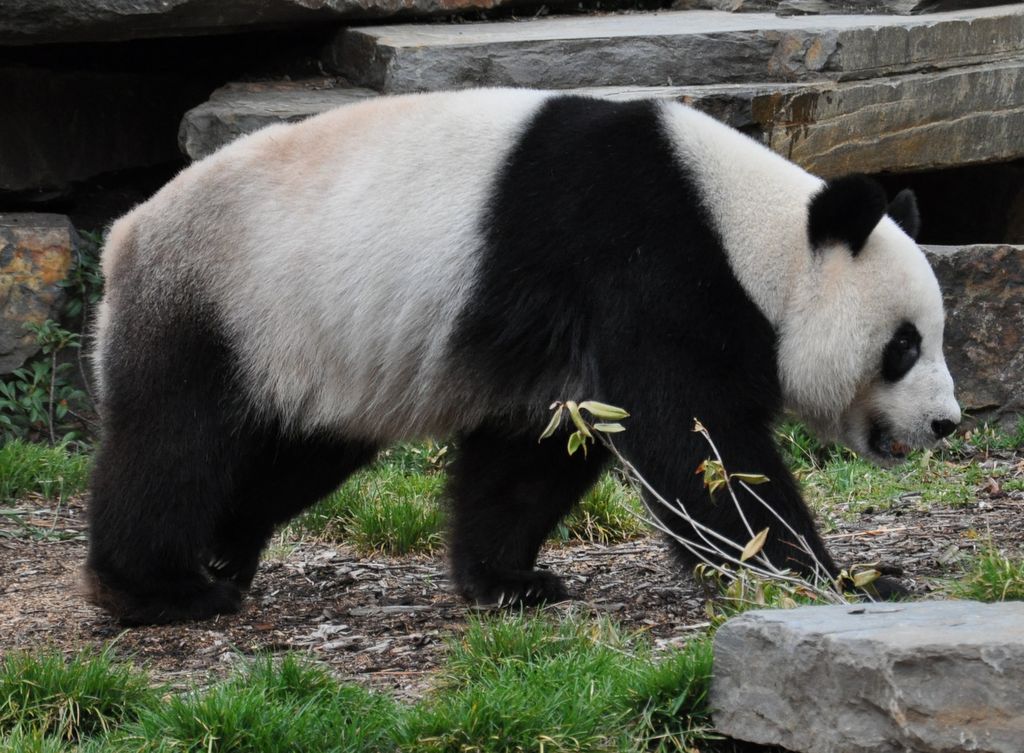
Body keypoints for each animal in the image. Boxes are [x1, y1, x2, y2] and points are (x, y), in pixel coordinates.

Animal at [85, 88, 961, 625]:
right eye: (904, 345)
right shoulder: (647, 265)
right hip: (225, 305)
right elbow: (697, 441)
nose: (947, 423)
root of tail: (123, 235)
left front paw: (508, 581)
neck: (752, 232)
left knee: (291, 452)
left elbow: (530, 455)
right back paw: (160, 589)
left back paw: (223, 553)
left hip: (310, 352)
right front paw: (833, 577)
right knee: (176, 443)